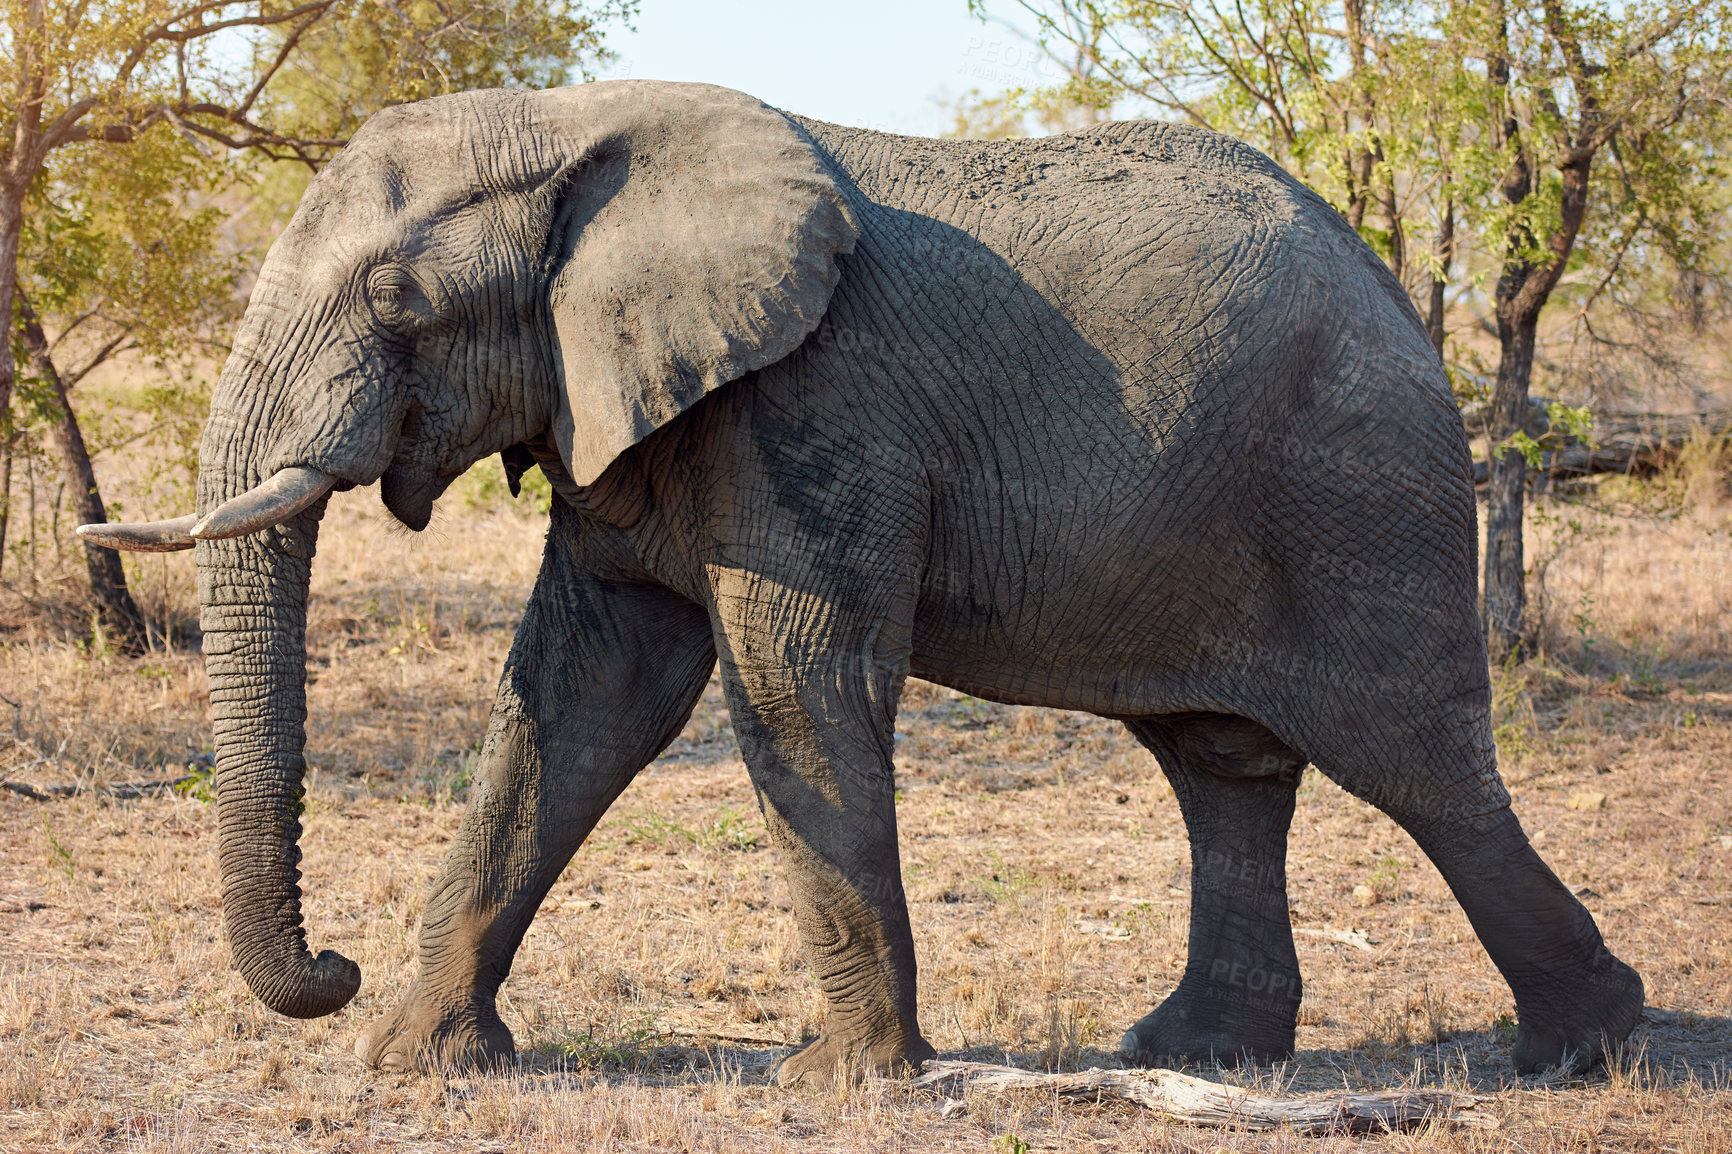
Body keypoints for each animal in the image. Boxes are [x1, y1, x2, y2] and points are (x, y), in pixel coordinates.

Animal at [84, 78, 1648, 1081]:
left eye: (400, 305)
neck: (580, 121)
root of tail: (1391, 284)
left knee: (1418, 765)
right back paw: (1201, 1054)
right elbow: (582, 697)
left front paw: (839, 1083)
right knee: (1222, 764)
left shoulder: (815, 406)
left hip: (1358, 492)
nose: (331, 963)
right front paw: (415, 1062)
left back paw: (1589, 1047)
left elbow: (790, 678)